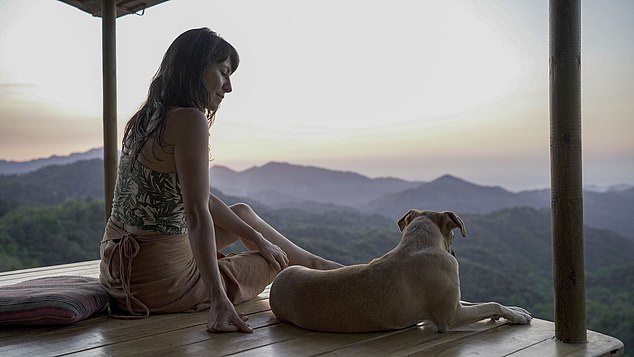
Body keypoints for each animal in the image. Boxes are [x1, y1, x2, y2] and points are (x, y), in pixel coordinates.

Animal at [270, 209, 532, 330]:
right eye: (454, 236)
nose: (455, 254)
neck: (418, 243)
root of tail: (277, 283)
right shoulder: (451, 315)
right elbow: (491, 304)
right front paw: (517, 316)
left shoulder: (454, 301)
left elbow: (481, 302)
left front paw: (516, 309)